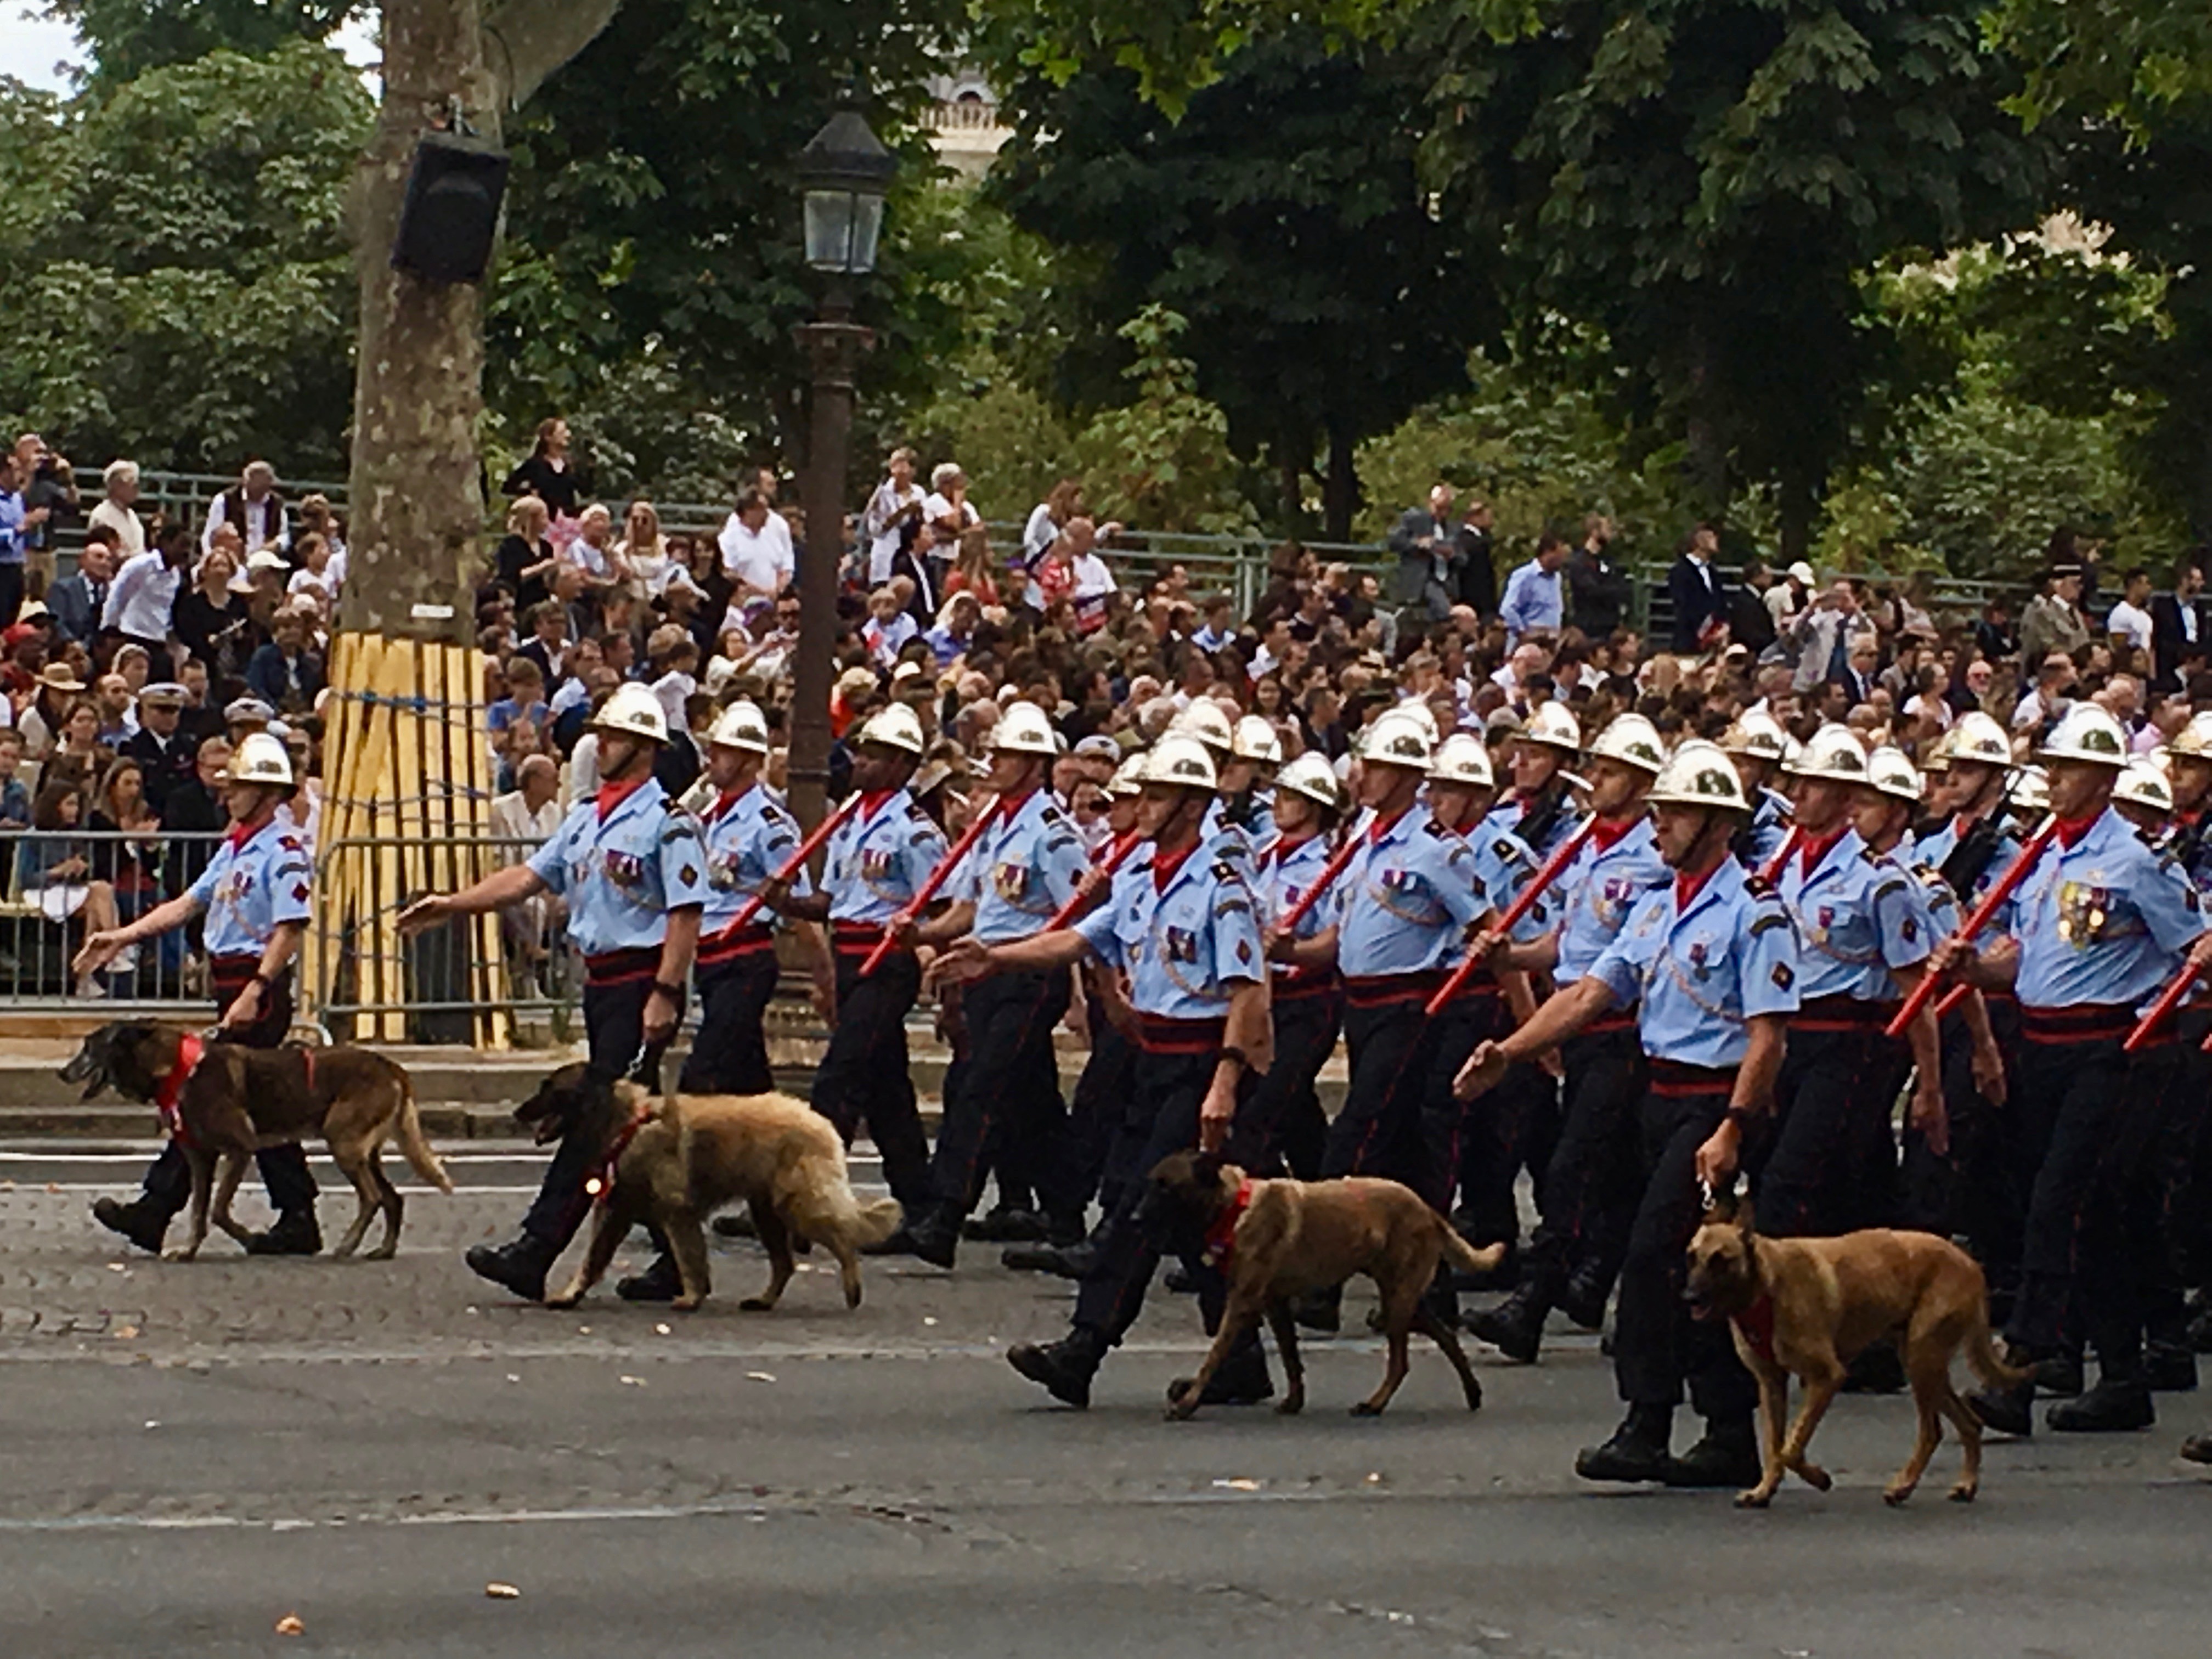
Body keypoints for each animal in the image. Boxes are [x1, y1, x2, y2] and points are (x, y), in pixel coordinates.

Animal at [61, 1022, 449, 1265]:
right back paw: (384, 1250)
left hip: (344, 1144)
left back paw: (348, 1245)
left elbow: (218, 1210)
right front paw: (188, 1251)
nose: (62, 1073)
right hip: (367, 1153)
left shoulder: (239, 1149)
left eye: (89, 1048)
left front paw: (250, 1239)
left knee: (372, 1197)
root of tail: (391, 1066)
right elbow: (198, 1211)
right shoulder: (199, 1158)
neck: (175, 1068)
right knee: (393, 1198)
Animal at [509, 1070, 898, 1318]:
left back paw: (852, 1286)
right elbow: (592, 1259)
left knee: (843, 1239)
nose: (516, 1112)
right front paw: (570, 1295)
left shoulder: (677, 1212)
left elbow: (689, 1258)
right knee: (785, 1264)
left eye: (549, 1088)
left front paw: (692, 1297)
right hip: (767, 1213)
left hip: (797, 1205)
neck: (627, 1123)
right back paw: (763, 1300)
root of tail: (819, 1119)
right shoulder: (616, 1211)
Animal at [1141, 1159, 1504, 1424]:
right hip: (1401, 1296)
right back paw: (1472, 1391)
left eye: (1165, 1187)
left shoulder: (1243, 1302)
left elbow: (1215, 1355)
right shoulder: (1275, 1304)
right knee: (1444, 1335)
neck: (1235, 1207)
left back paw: (1374, 1404)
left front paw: (1188, 1403)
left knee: (1400, 1362)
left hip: (1398, 1299)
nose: (1134, 1216)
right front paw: (1294, 1400)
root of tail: (1427, 1209)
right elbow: (1290, 1357)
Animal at [1681, 1203, 2026, 1513]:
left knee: (1933, 1431)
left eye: (1720, 1260)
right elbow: (1775, 1447)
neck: (1766, 1285)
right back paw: (1966, 1484)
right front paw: (1764, 1491)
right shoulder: (1771, 1384)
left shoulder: (1827, 1377)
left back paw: (1903, 1486)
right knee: (1971, 1423)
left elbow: (1791, 1448)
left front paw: (1819, 1478)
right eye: (1691, 1257)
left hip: (1922, 1361)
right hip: (1925, 1365)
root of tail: (1969, 1262)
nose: (1689, 1299)